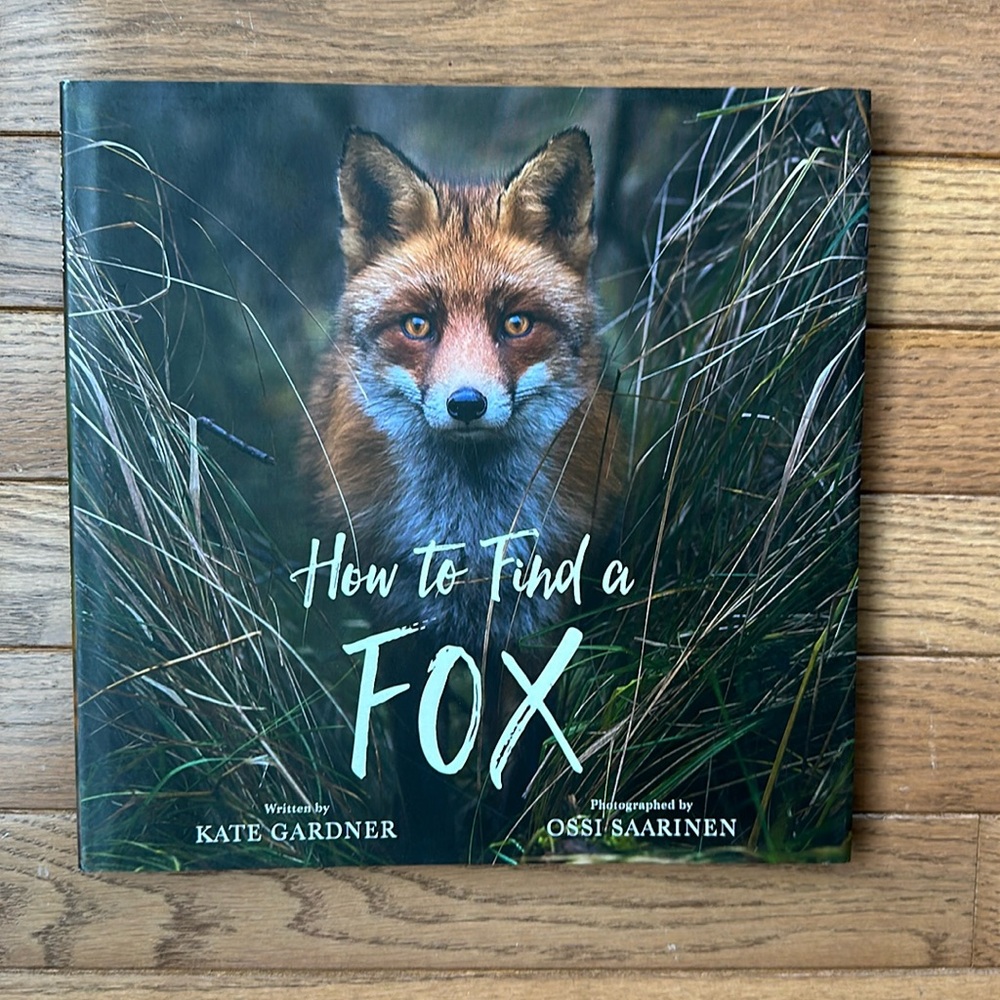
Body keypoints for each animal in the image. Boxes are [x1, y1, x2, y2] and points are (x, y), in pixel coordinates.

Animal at [303, 127, 620, 855]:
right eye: (419, 325)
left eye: (516, 324)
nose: (467, 404)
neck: (472, 540)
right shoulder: (396, 626)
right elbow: (420, 770)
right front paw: (433, 846)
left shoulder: (536, 628)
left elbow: (514, 760)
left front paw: (498, 842)